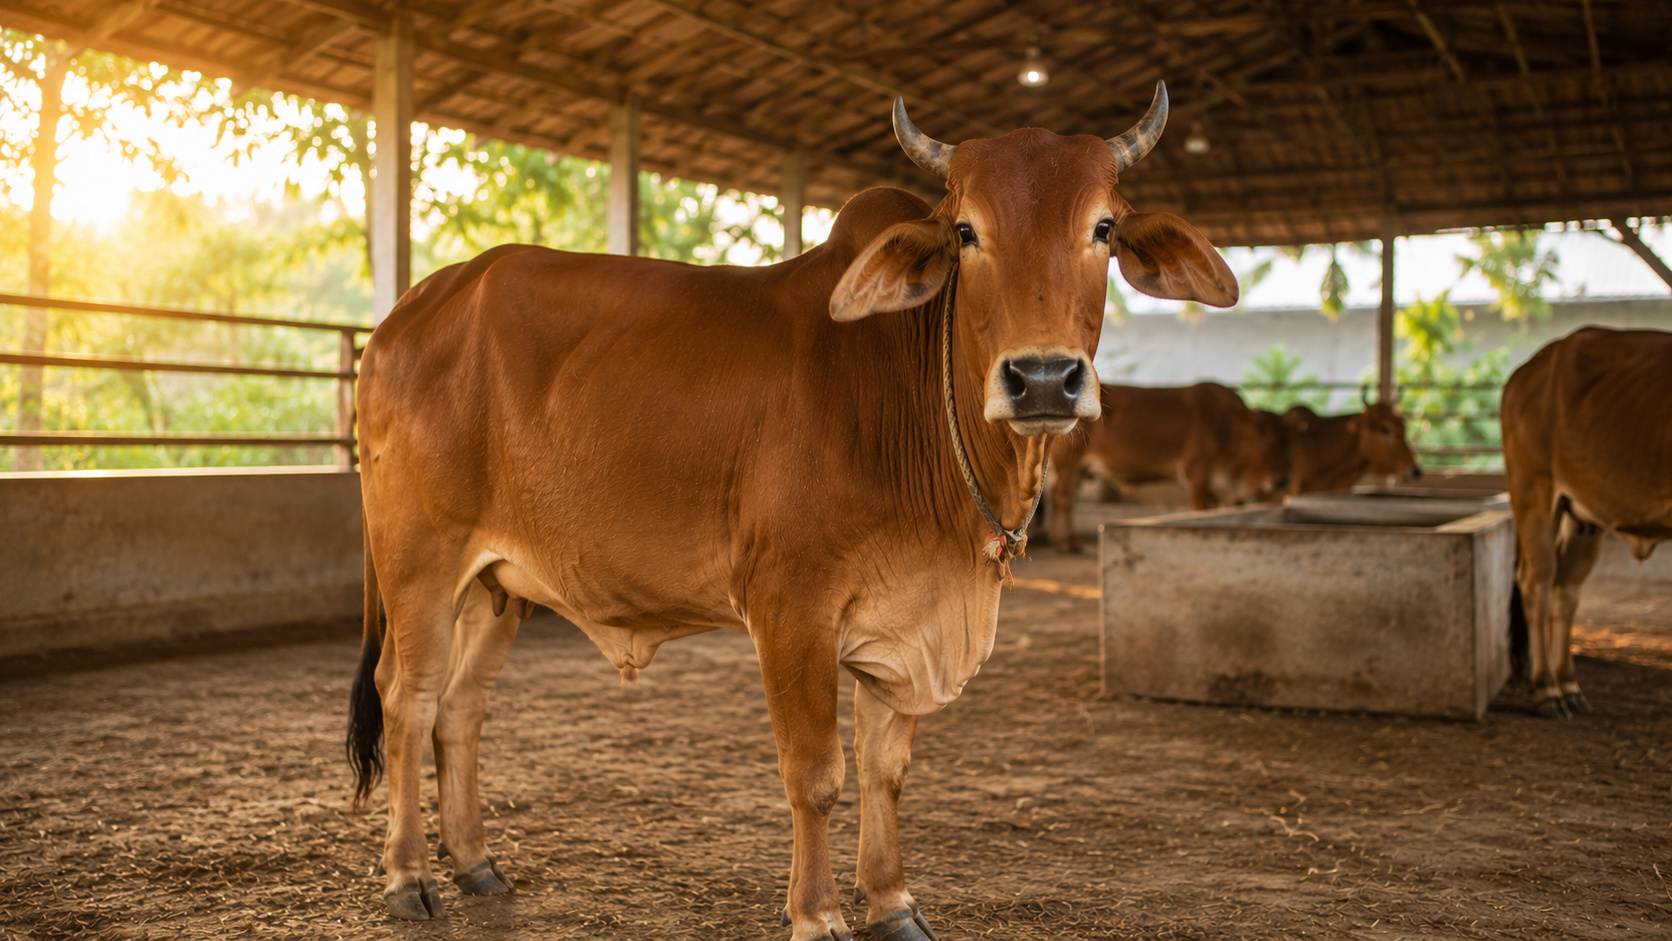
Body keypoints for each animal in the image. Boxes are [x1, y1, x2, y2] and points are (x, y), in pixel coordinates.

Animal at [346, 83, 1238, 940]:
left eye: (1103, 227)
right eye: (966, 231)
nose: (1044, 379)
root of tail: (406, 314)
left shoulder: (904, 622)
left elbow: (885, 771)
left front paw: (894, 904)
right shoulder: (790, 608)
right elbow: (816, 775)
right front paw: (816, 912)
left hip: (499, 583)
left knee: (460, 708)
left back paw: (476, 862)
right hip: (420, 563)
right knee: (407, 699)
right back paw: (407, 876)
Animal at [1044, 382, 1289, 551]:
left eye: (1286, 441)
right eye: (1264, 438)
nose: (1281, 480)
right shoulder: (1197, 474)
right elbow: (1199, 512)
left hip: (1078, 469)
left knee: (1066, 498)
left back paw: (1067, 540)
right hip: (1068, 464)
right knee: (1062, 498)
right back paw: (1065, 543)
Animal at [1501, 326, 1672, 718]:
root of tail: (1528, 370)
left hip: (1584, 517)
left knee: (1567, 589)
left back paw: (1569, 686)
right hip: (1534, 491)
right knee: (1537, 585)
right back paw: (1547, 690)